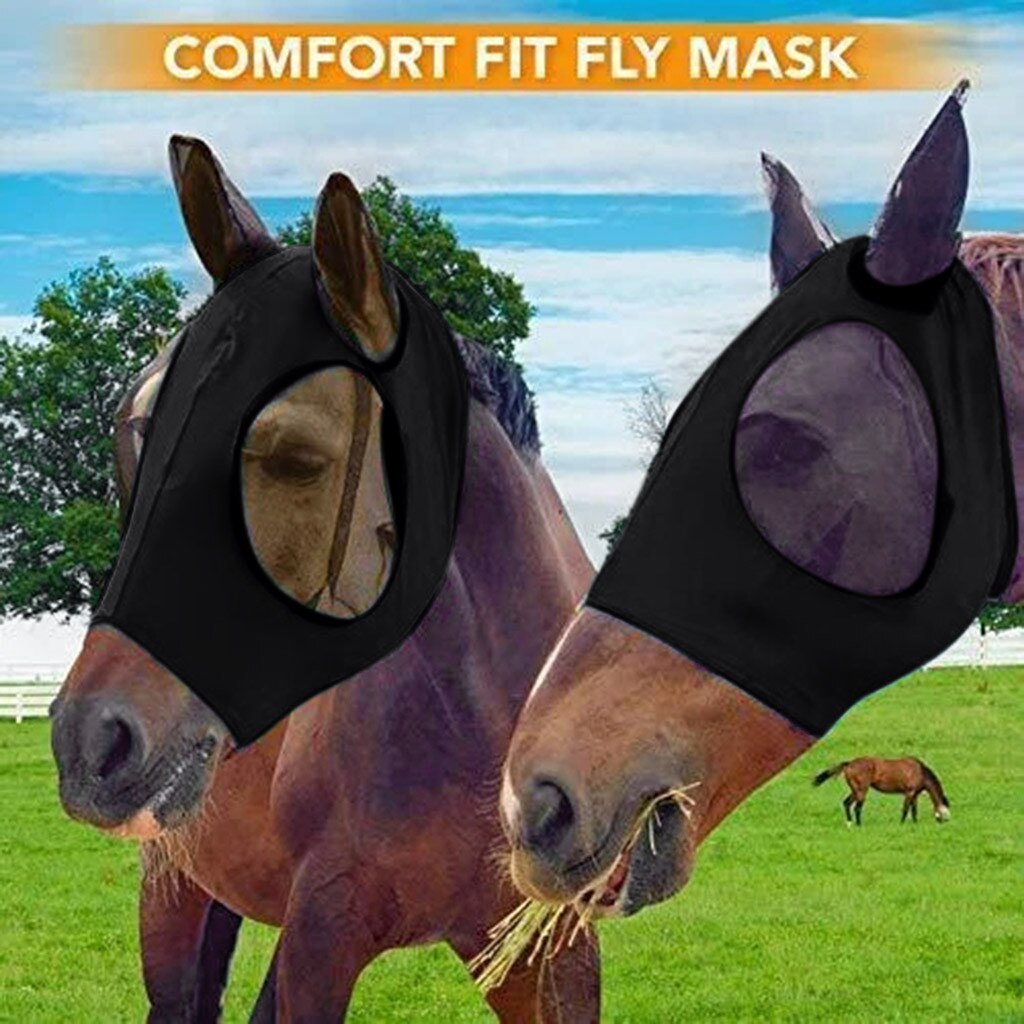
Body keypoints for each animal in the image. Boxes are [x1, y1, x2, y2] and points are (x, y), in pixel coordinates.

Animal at [50, 136, 600, 1022]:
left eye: (294, 455)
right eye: (134, 434)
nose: (88, 737)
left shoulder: (548, 955)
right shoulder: (323, 942)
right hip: (174, 889)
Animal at [812, 757, 951, 825]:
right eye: (946, 810)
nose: (945, 822)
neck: (920, 771)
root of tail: (849, 763)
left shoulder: (914, 795)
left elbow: (914, 810)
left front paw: (915, 823)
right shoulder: (909, 792)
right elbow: (906, 809)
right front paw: (901, 824)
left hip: (855, 790)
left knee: (846, 803)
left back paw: (849, 823)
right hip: (862, 790)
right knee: (857, 807)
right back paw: (859, 824)